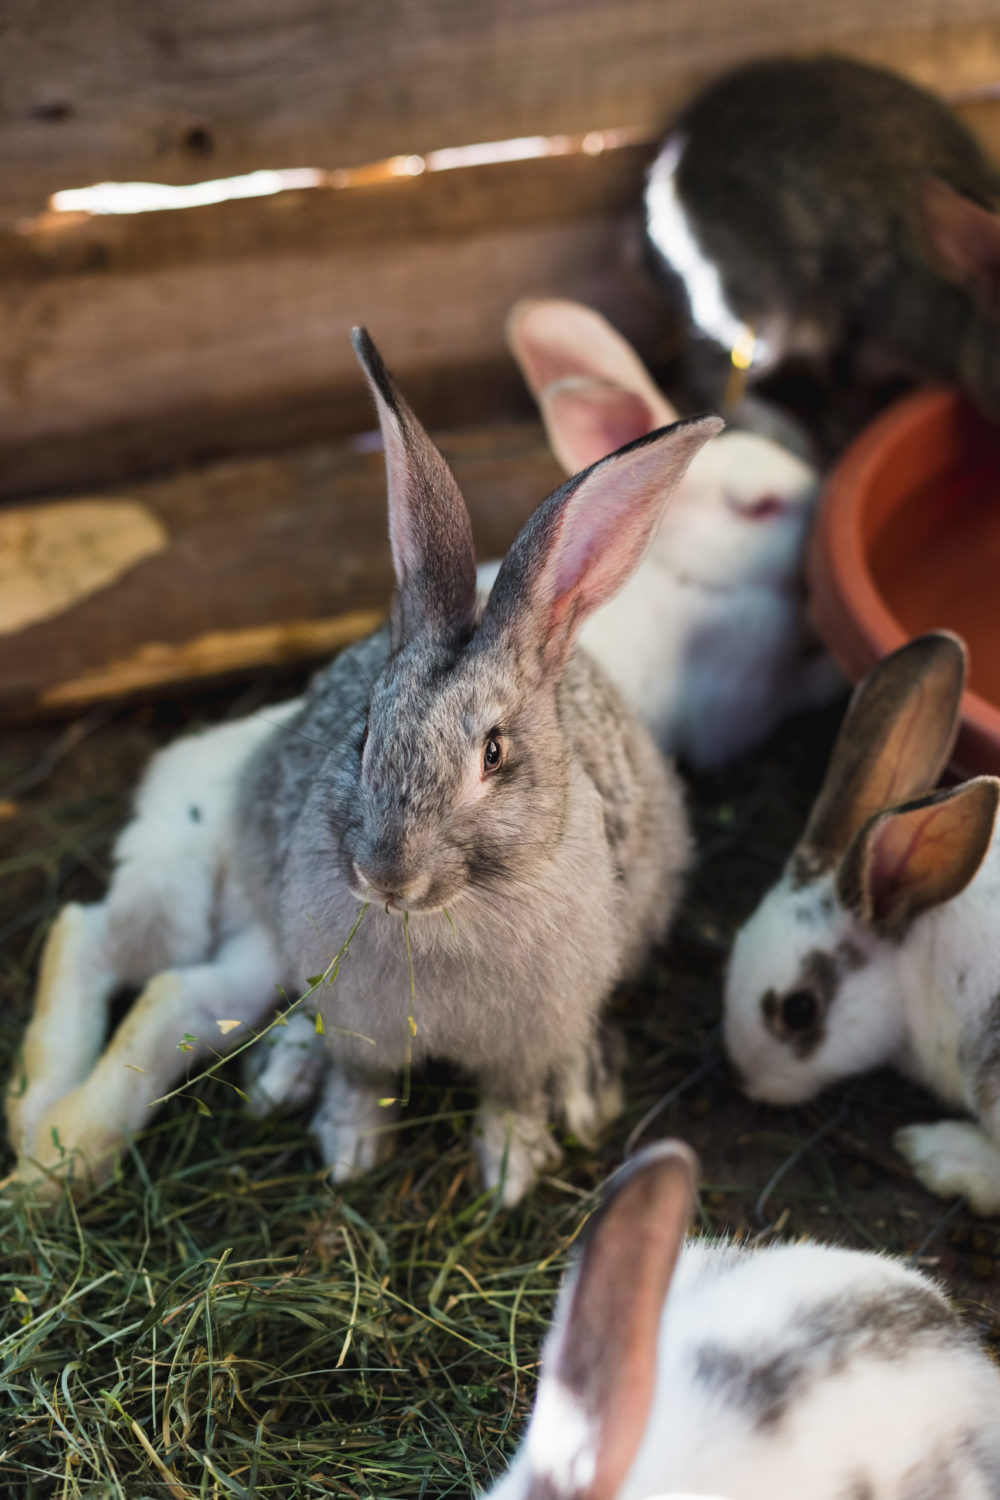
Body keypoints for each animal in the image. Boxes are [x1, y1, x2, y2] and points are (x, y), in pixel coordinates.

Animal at [9, 329, 716, 1206]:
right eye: (368, 729)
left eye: (493, 753)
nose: (386, 876)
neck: (440, 917)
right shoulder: (352, 1017)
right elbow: (359, 1076)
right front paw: (348, 1149)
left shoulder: (531, 1033)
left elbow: (512, 1092)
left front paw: (508, 1170)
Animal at [495, 299, 840, 769]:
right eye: (760, 507)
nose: (821, 493)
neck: (697, 578)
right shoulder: (741, 710)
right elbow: (797, 693)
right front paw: (834, 676)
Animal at [644, 55, 1000, 450]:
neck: (962, 309)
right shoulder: (863, 338)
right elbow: (845, 388)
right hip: (761, 320)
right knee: (710, 382)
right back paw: (787, 436)